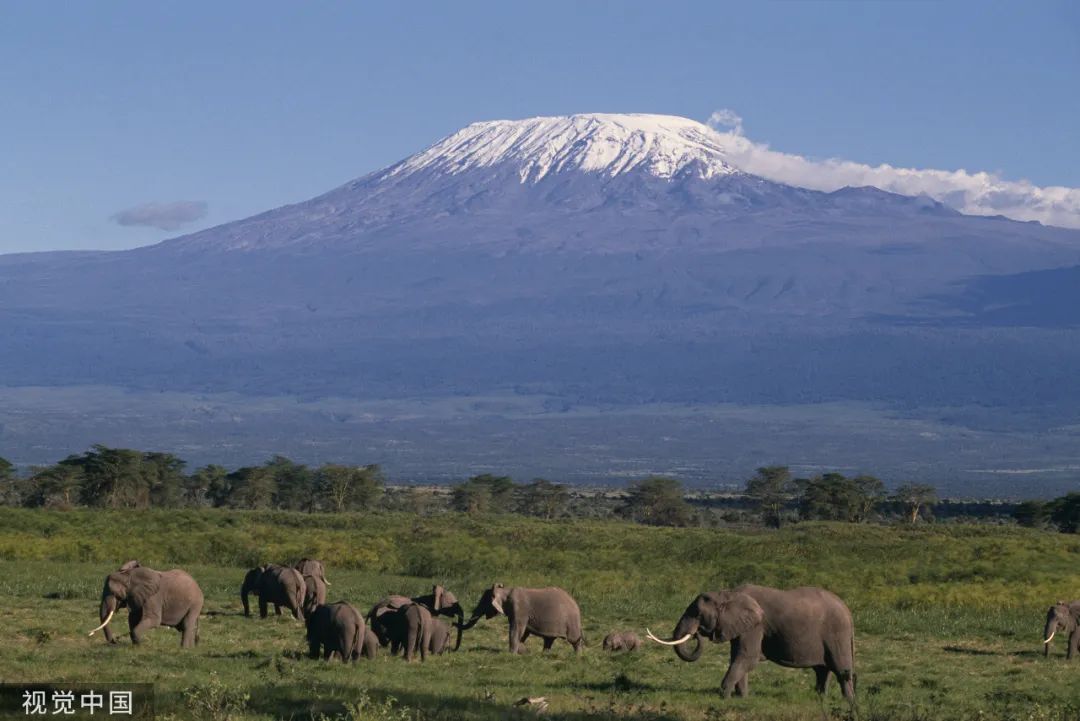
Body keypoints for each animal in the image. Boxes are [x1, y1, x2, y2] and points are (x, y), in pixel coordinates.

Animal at [643, 582, 855, 699]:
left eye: (697, 614)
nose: (696, 633)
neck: (728, 593)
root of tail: (848, 610)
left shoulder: (755, 625)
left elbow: (747, 657)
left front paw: (724, 697)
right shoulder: (741, 626)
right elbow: (738, 657)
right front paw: (742, 698)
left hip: (837, 634)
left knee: (840, 668)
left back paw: (848, 701)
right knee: (822, 670)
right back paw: (820, 698)